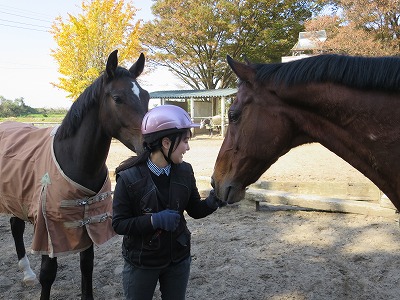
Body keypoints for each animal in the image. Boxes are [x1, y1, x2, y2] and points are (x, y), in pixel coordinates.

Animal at [0, 50, 150, 298]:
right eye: (117, 98)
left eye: (146, 96)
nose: (151, 141)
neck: (73, 159)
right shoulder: (49, 229)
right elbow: (48, 274)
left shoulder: (87, 222)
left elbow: (86, 266)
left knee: (15, 225)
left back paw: (27, 274)